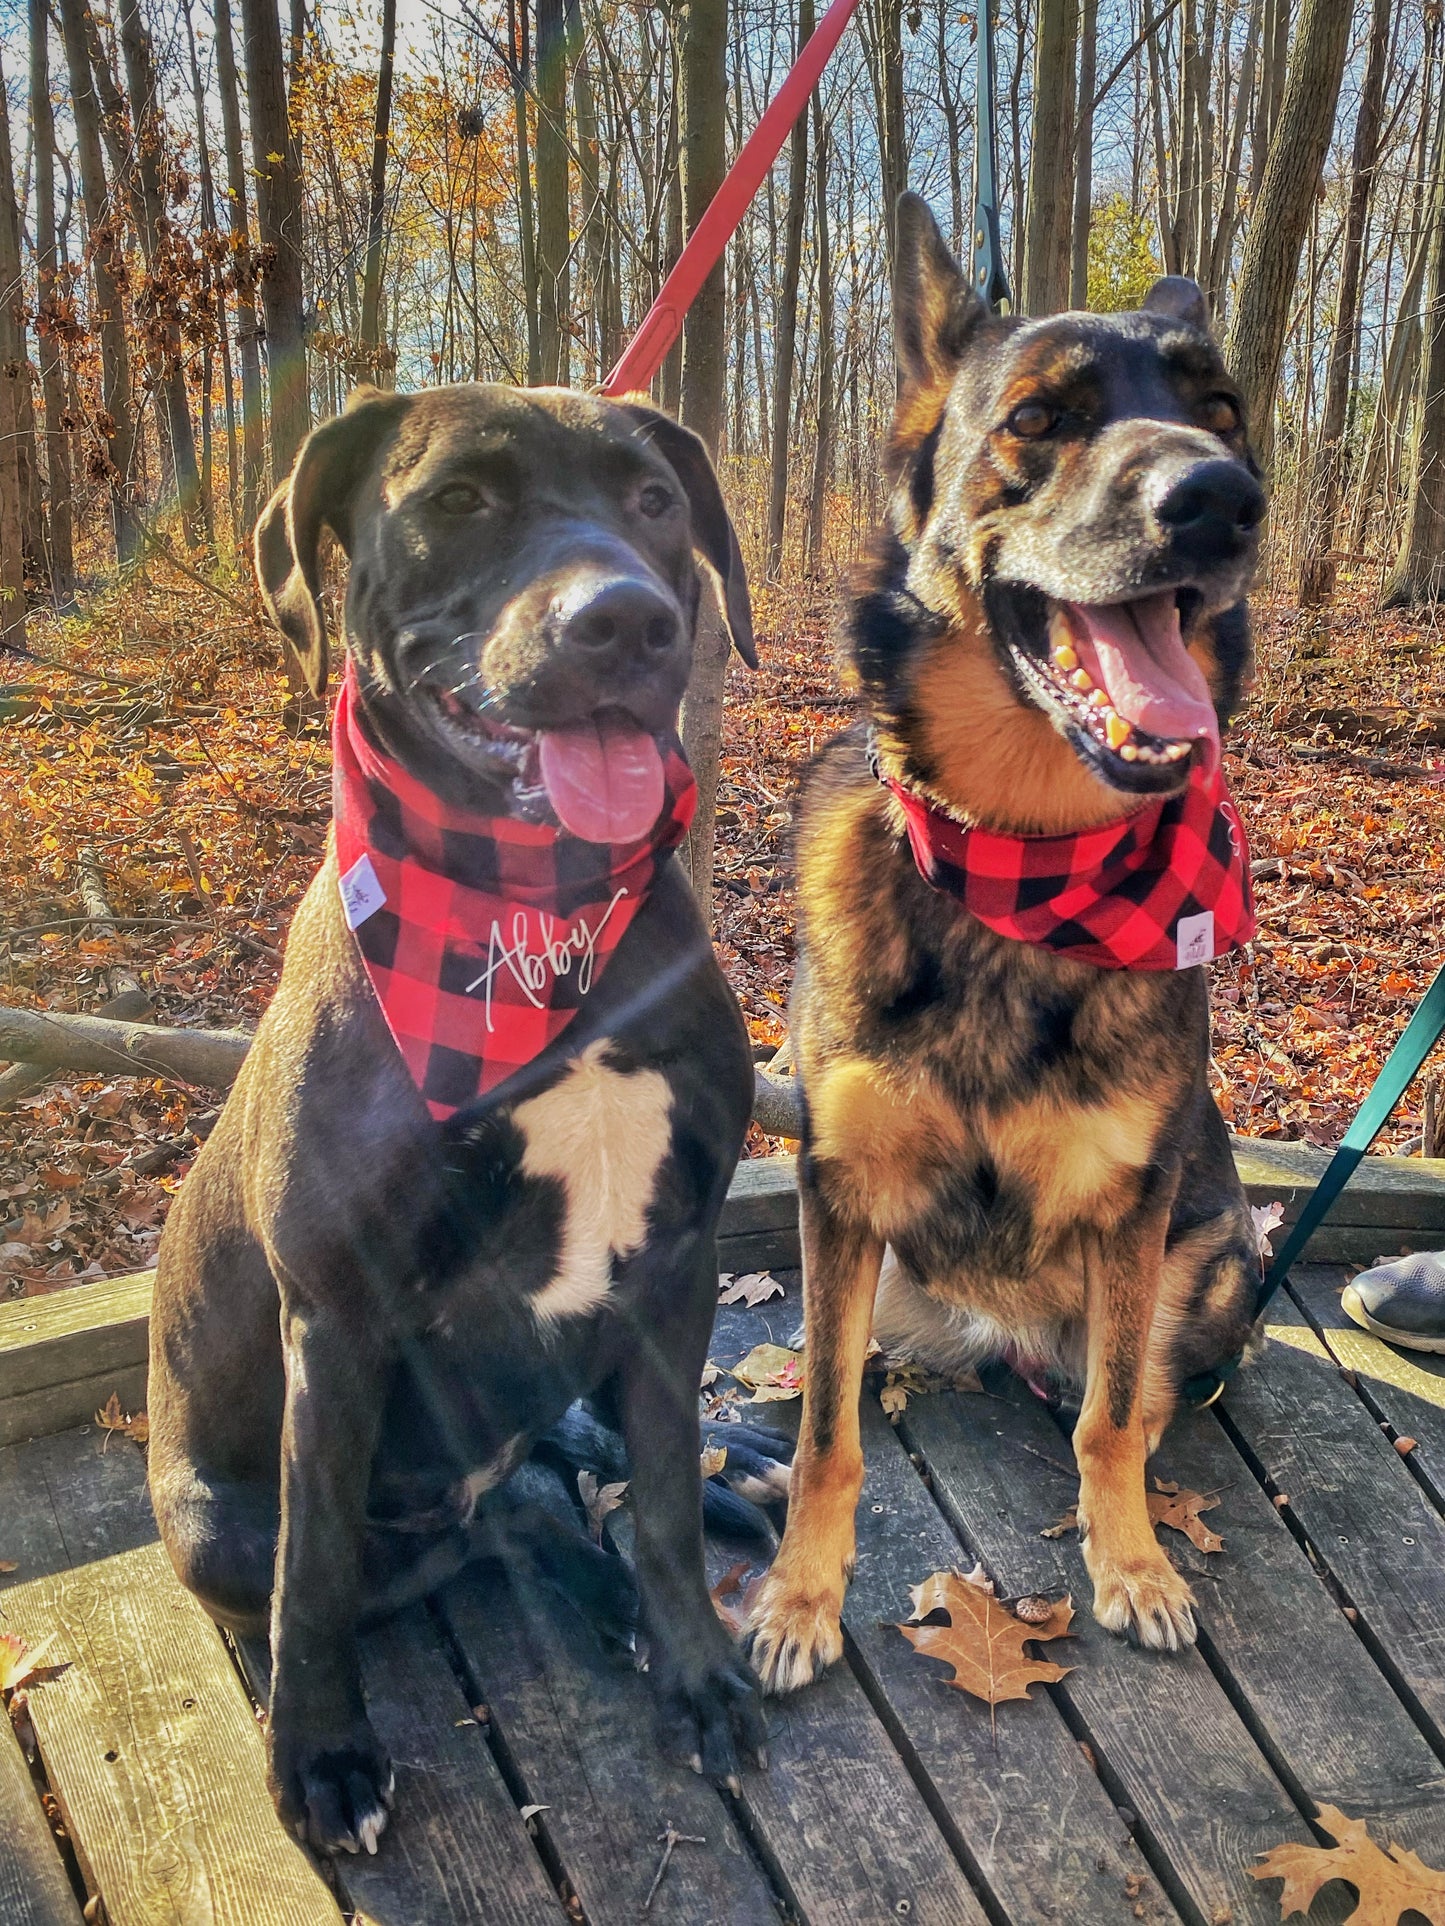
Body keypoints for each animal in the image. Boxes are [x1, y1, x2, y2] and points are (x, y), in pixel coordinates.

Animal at [150, 379, 782, 1848]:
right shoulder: (338, 1319)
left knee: (544, 1492)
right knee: (427, 1544)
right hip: (217, 1520)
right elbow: (316, 1569)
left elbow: (663, 1496)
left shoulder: (675, 1260)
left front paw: (694, 1664)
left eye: (652, 500)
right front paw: (321, 1752)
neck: (540, 933)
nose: (625, 619)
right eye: (457, 500)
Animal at [747, 195, 1263, 1694]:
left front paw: (1129, 1561)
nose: (1221, 499)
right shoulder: (838, 1192)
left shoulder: (1138, 1206)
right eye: (1039, 416)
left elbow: (1106, 1425)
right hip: (889, 1276)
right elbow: (825, 1435)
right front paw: (798, 1594)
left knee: (1131, 1396)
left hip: (1221, 1258)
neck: (1021, 864)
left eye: (1221, 410)